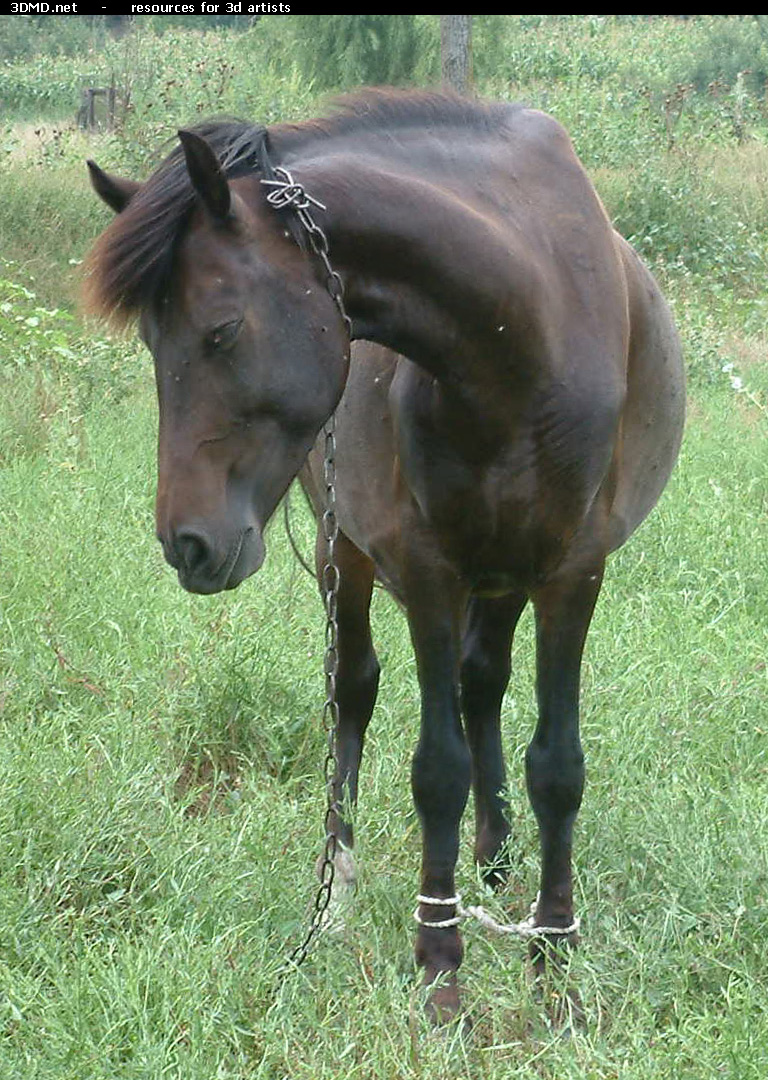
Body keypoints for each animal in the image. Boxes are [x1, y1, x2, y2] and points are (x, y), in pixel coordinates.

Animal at [84, 90, 686, 1019]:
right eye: (153, 345)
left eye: (221, 331)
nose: (188, 543)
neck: (526, 327)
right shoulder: (427, 571)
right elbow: (436, 767)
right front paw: (440, 963)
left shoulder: (571, 570)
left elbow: (556, 764)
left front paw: (554, 951)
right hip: (348, 554)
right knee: (355, 693)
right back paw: (337, 889)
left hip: (503, 575)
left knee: (482, 682)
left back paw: (495, 853)